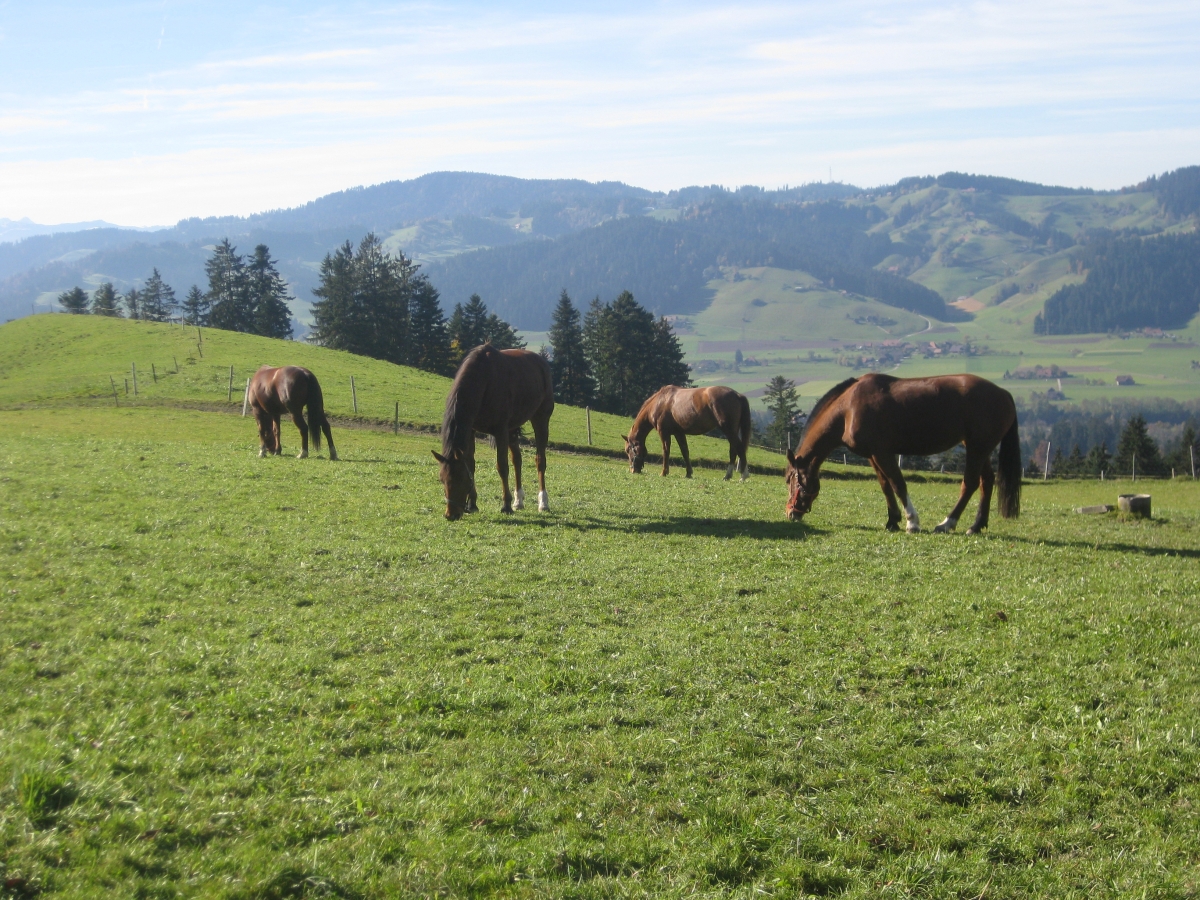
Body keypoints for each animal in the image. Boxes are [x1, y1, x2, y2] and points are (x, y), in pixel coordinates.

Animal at [432, 344, 554, 521]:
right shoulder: (471, 430)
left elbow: (502, 466)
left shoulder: (500, 430)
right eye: (442, 479)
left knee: (540, 460)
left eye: (461, 479)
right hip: (512, 428)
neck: (484, 381)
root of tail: (542, 362)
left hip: (540, 419)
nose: (451, 515)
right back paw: (519, 501)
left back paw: (543, 502)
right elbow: (471, 464)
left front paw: (506, 505)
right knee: (517, 460)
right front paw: (472, 504)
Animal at [785, 373, 1020, 533]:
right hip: (980, 449)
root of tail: (1004, 393)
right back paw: (977, 525)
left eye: (790, 480)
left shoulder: (883, 453)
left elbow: (898, 484)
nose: (790, 513)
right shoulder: (873, 456)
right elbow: (885, 486)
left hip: (977, 448)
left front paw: (911, 521)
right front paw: (892, 520)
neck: (848, 409)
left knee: (970, 484)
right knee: (987, 481)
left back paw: (947, 523)